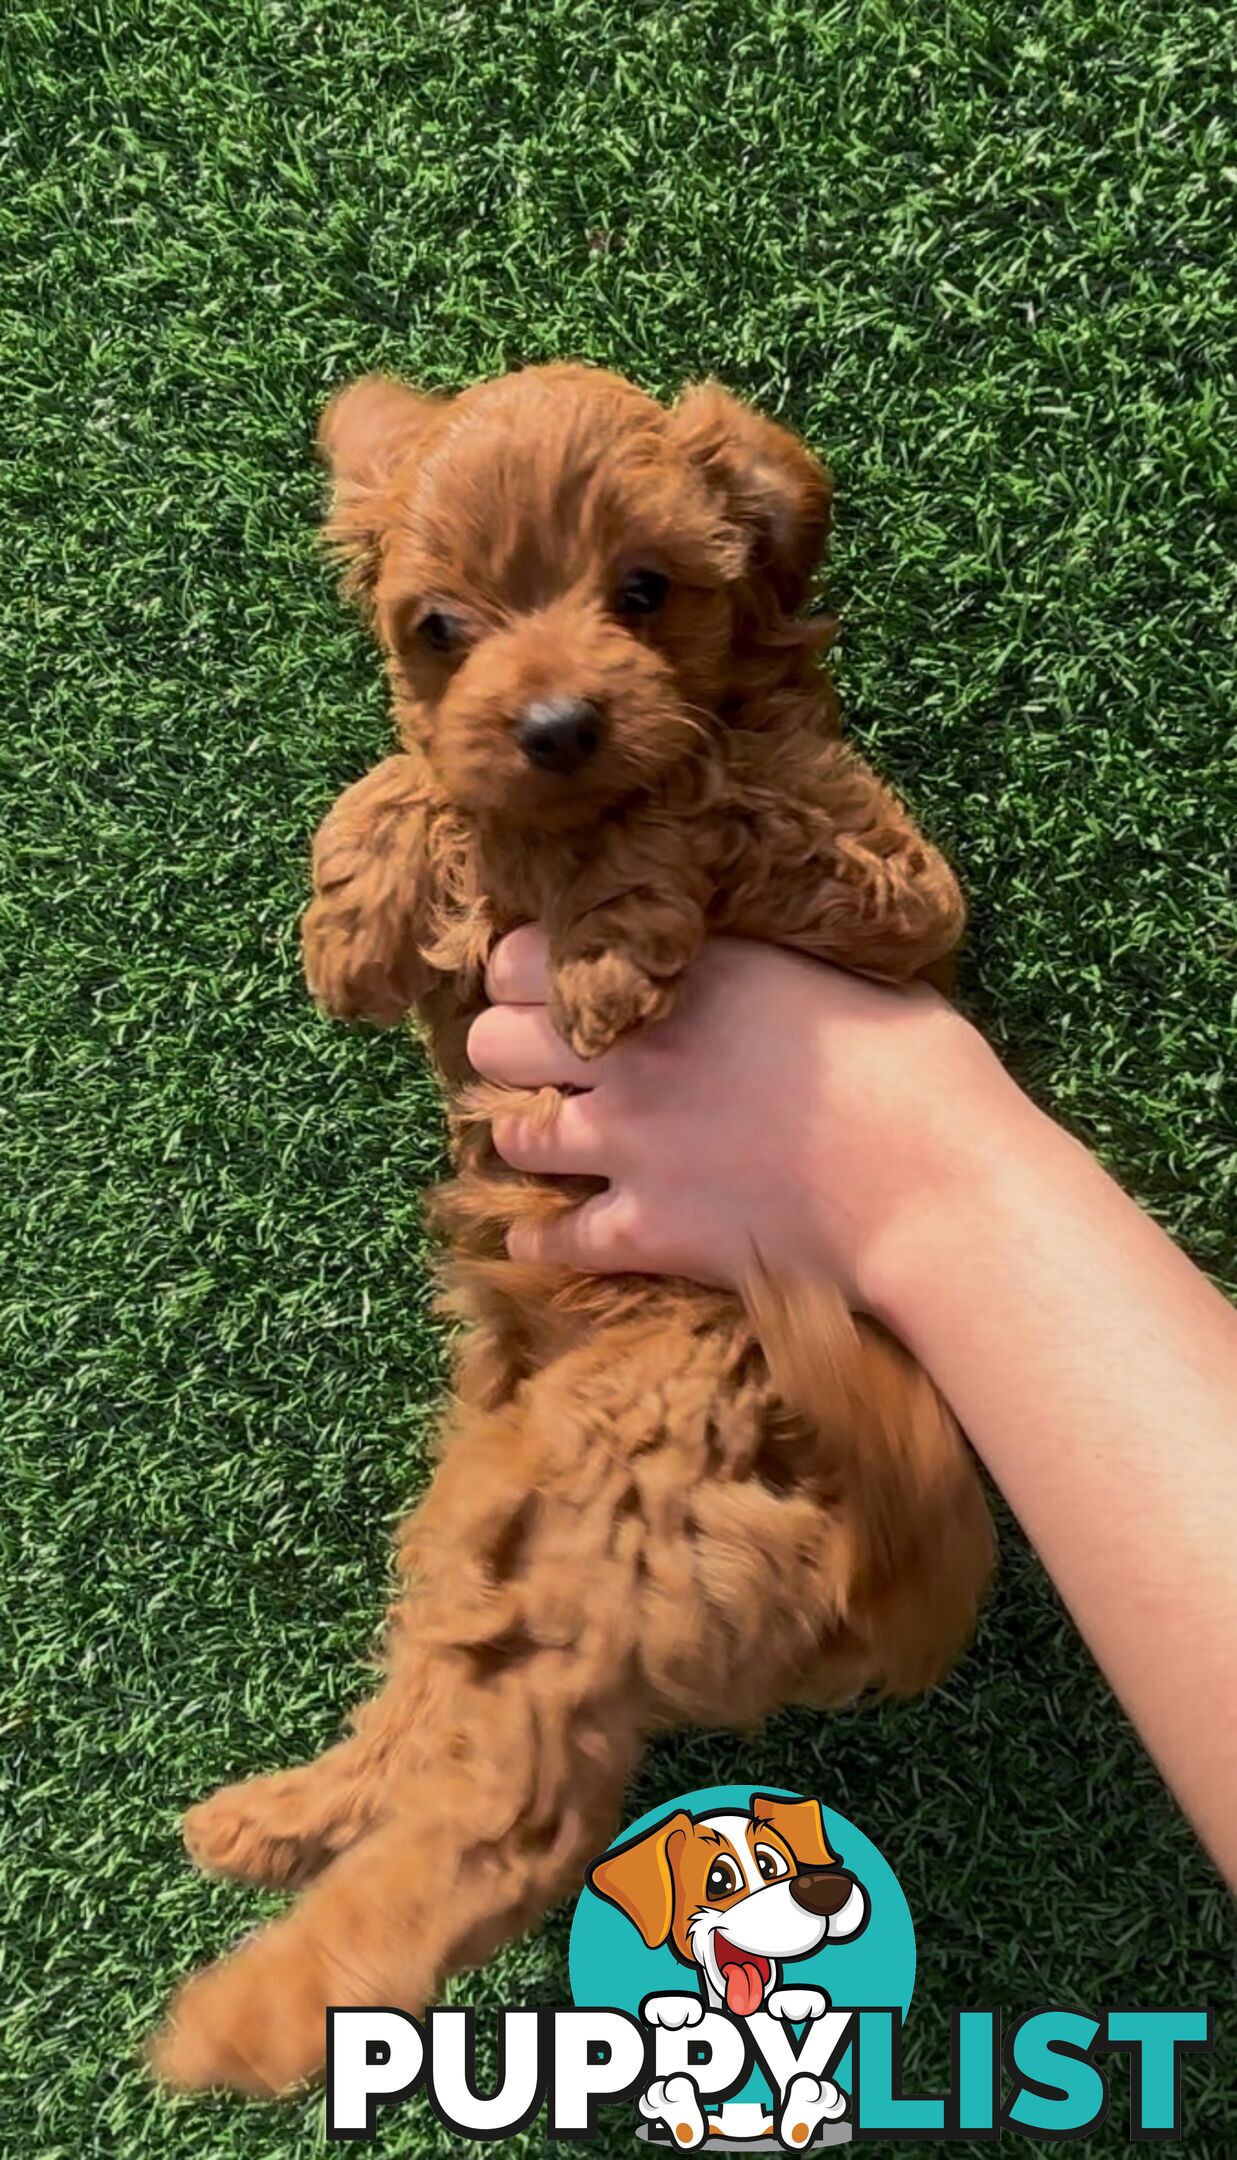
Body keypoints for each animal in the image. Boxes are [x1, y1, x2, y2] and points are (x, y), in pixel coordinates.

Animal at [152, 367, 993, 2090]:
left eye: (647, 592)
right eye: (440, 630)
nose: (551, 730)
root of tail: (851, 1561)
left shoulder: (892, 888)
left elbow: (708, 794)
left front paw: (608, 925)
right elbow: (410, 786)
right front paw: (361, 900)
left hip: (610, 1510)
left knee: (504, 1825)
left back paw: (258, 2010)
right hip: (483, 1519)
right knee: (421, 1718)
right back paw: (277, 1820)